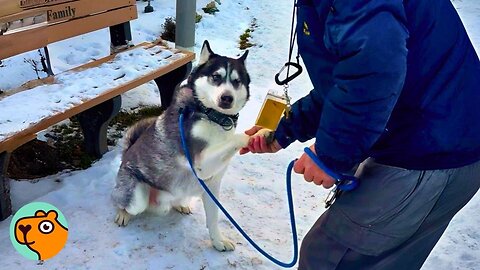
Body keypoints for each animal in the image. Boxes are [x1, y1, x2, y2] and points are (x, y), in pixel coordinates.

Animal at [110, 41, 249, 252]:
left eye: (236, 81)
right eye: (216, 76)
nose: (227, 98)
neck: (212, 117)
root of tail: (125, 156)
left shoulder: (212, 184)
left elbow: (213, 219)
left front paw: (218, 241)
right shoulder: (199, 164)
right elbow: (237, 138)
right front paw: (259, 134)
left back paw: (180, 205)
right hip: (136, 197)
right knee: (123, 202)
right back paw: (123, 213)